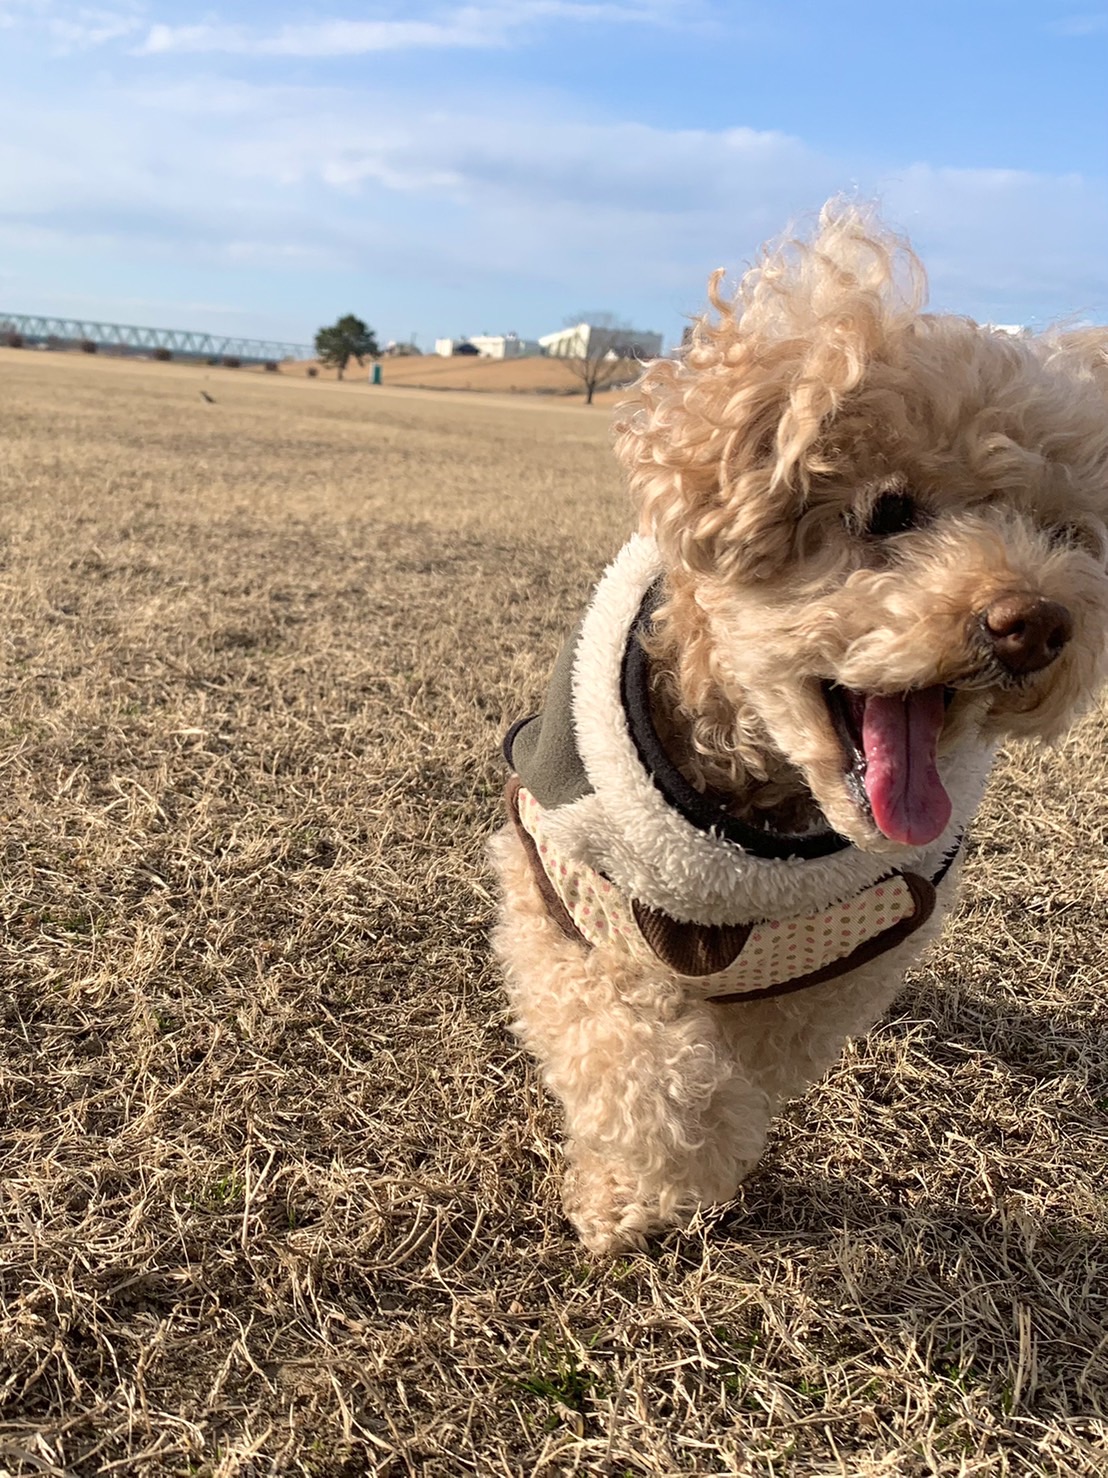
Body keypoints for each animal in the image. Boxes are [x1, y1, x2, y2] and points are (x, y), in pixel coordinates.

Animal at [493, 202, 1108, 1253]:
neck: (758, 801)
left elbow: (752, 1056)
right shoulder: (560, 881)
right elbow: (630, 1052)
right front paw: (638, 1189)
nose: (1036, 624)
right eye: (888, 511)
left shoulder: (852, 943)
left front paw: (684, 1164)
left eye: (1066, 533)